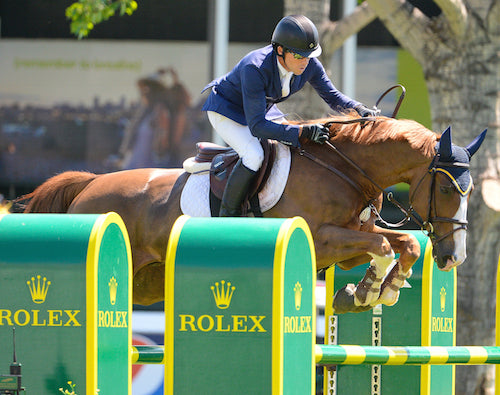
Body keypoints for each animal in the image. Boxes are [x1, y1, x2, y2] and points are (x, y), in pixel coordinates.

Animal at [17, 116, 486, 314]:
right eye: (448, 188)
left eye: (471, 190)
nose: (454, 258)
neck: (345, 168)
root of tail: (88, 185)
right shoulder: (322, 240)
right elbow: (383, 244)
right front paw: (370, 291)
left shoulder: (346, 240)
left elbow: (400, 244)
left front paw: (369, 291)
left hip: (146, 284)